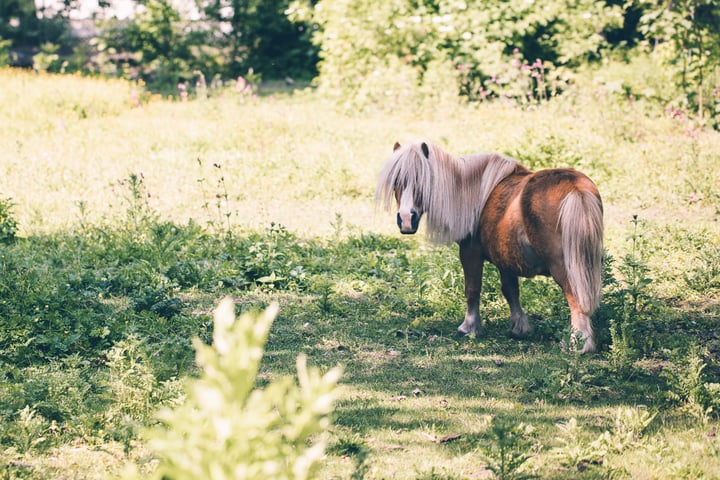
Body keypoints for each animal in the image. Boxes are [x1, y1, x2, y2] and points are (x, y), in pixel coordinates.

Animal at [374, 139, 604, 352]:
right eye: (396, 181)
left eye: (422, 180)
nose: (406, 219)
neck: (471, 193)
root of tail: (575, 187)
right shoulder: (506, 259)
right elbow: (510, 291)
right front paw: (520, 328)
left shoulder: (470, 253)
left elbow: (472, 289)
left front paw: (469, 327)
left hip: (564, 267)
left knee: (576, 299)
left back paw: (580, 343)